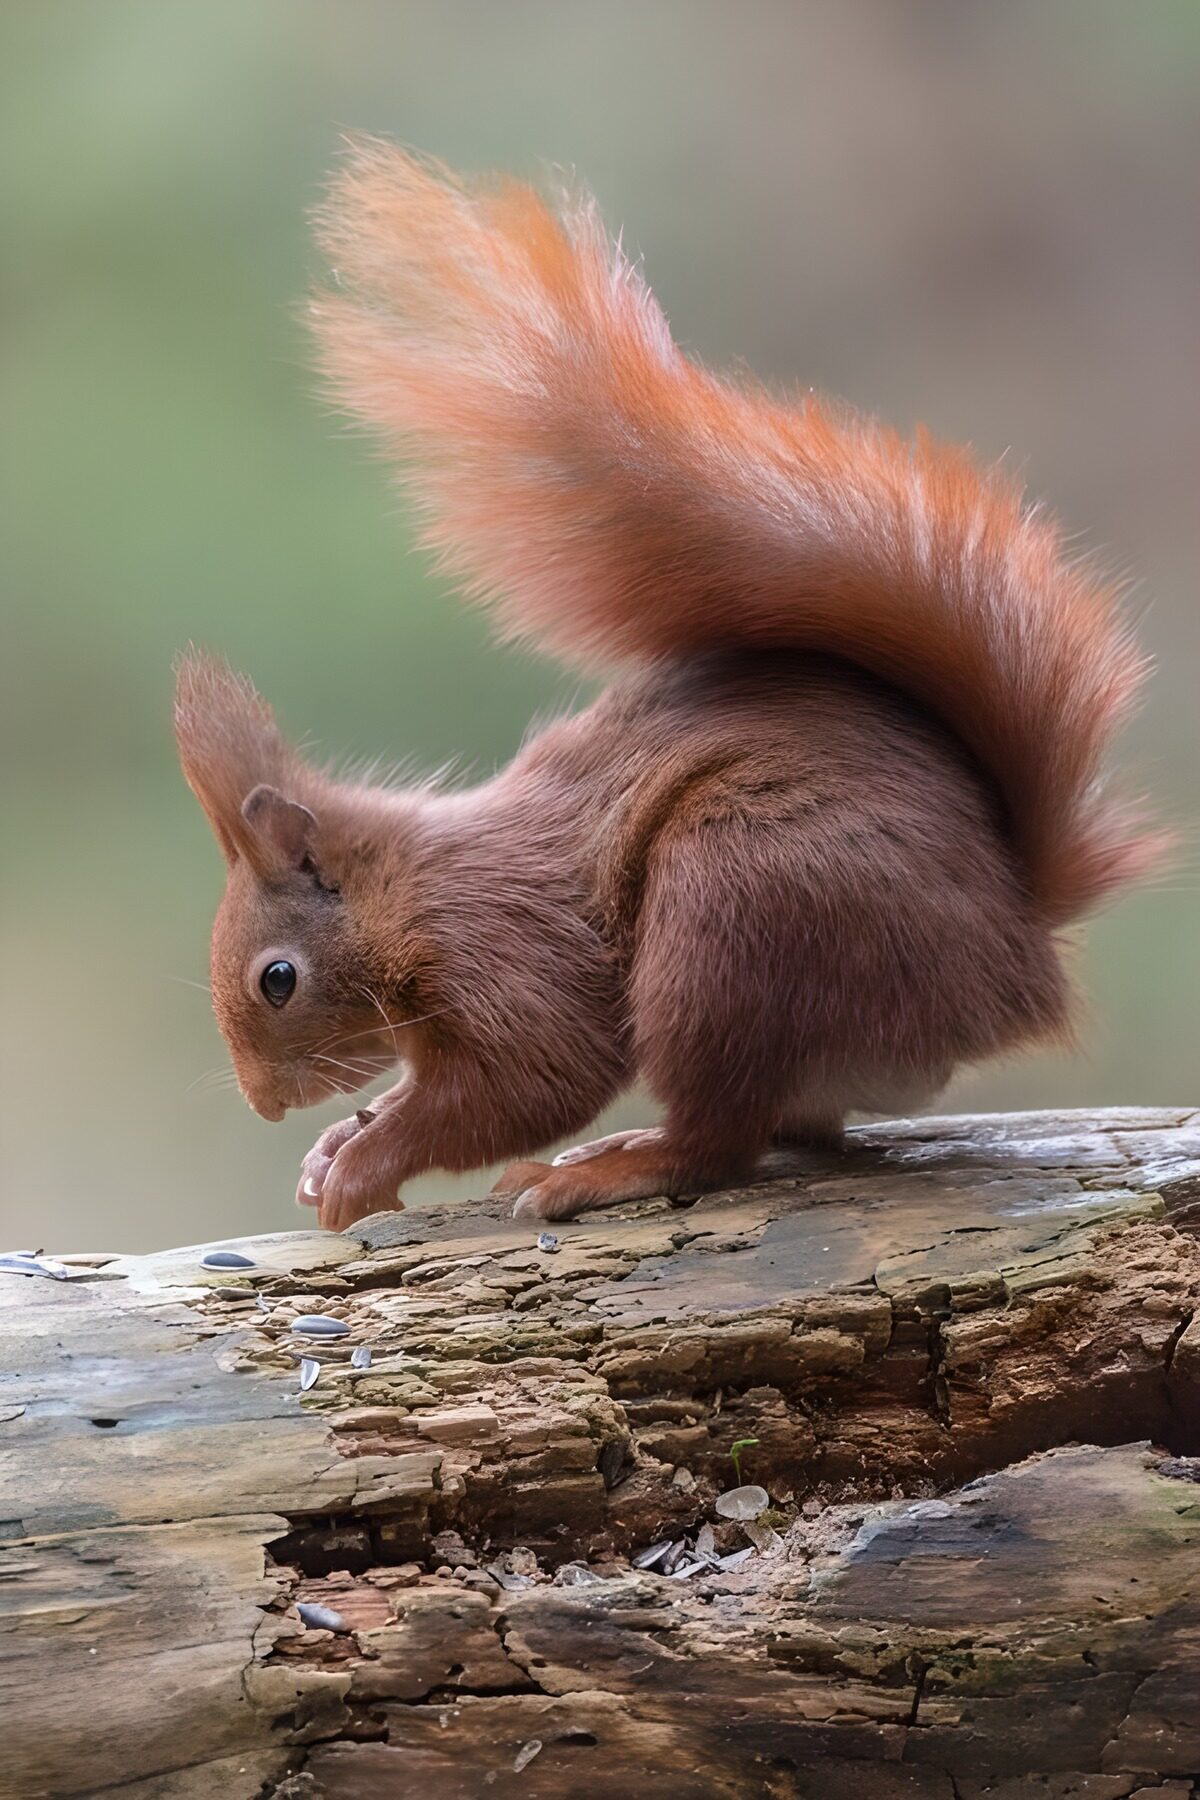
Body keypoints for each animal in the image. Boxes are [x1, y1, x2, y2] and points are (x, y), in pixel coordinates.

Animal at [174, 141, 1167, 1232]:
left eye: (277, 979)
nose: (266, 1105)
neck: (401, 886)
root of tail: (1018, 952)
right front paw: (334, 1145)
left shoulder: (496, 943)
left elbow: (537, 1075)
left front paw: (363, 1163)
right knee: (790, 1130)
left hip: (737, 911)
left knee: (719, 1142)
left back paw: (614, 1166)